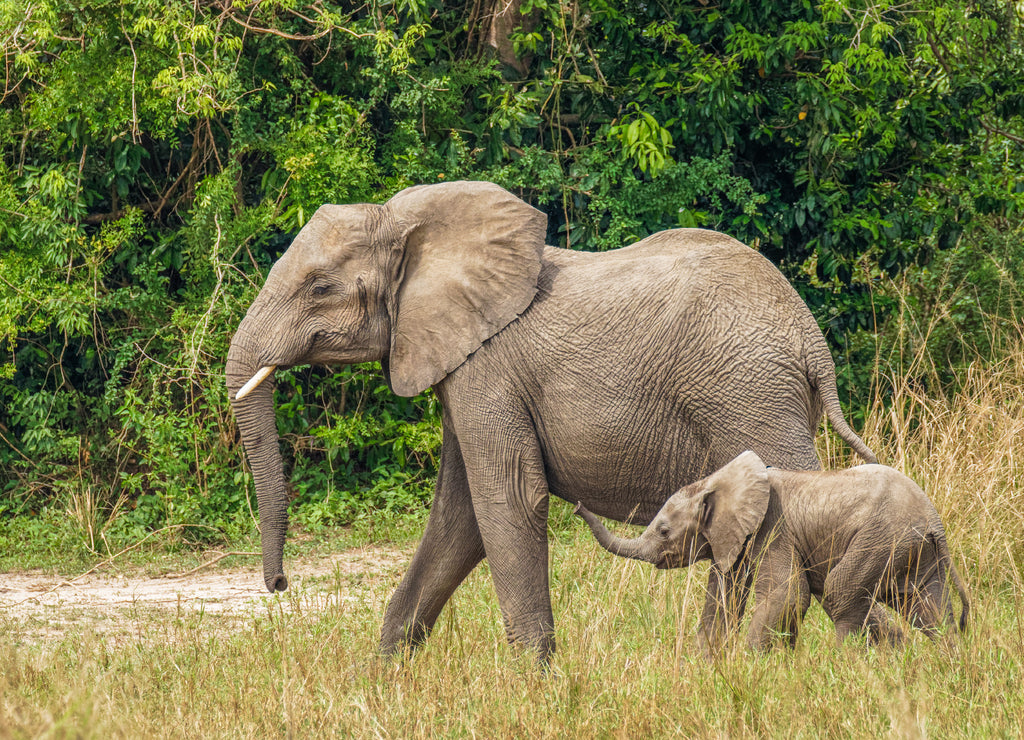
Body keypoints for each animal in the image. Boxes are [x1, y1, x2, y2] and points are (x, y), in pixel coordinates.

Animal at [228, 179, 876, 659]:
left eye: (319, 287)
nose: (279, 585)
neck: (410, 225)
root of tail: (812, 338)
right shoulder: (464, 370)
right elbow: (459, 515)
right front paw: (388, 675)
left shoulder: (488, 369)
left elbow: (506, 499)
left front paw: (533, 682)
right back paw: (712, 663)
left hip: (752, 396)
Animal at [577, 452, 966, 655]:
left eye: (663, 531)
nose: (579, 505)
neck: (715, 482)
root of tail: (934, 519)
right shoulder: (731, 539)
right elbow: (723, 600)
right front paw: (705, 667)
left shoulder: (774, 529)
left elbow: (788, 595)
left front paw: (751, 665)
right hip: (913, 550)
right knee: (926, 607)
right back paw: (945, 663)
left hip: (882, 538)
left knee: (840, 592)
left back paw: (844, 665)